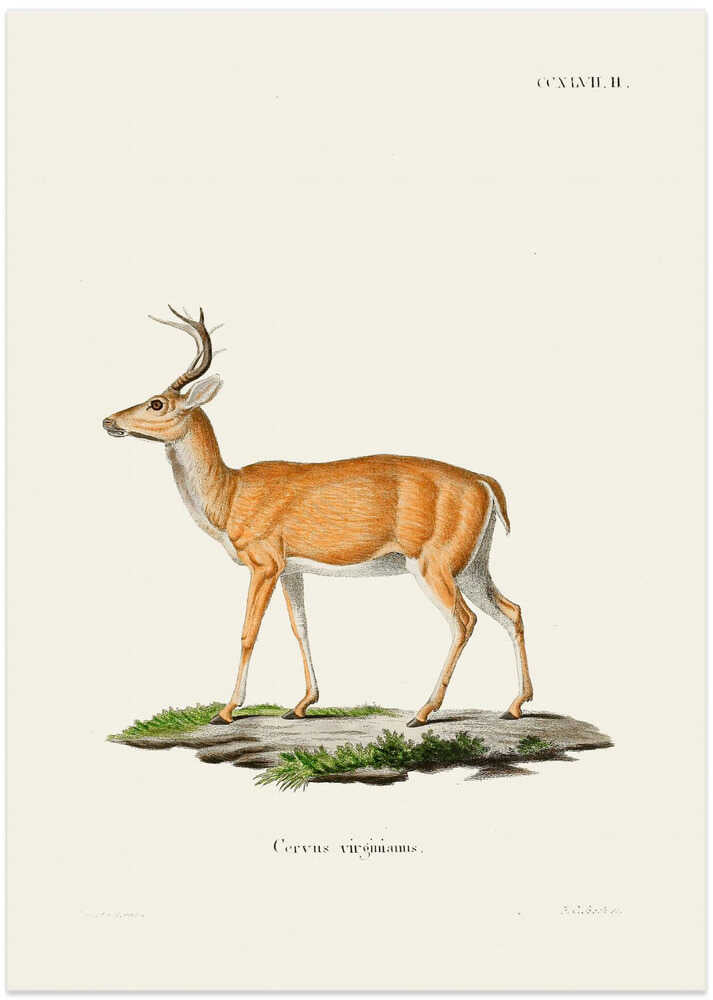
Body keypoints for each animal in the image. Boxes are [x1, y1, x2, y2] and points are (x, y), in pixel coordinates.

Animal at [103, 306, 534, 727]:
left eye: (157, 402)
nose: (109, 421)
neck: (230, 494)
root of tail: (484, 483)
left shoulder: (263, 562)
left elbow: (248, 631)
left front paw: (226, 710)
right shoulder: (291, 568)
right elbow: (301, 628)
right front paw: (302, 703)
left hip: (435, 563)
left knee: (464, 621)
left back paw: (423, 711)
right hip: (472, 564)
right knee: (511, 610)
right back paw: (515, 704)